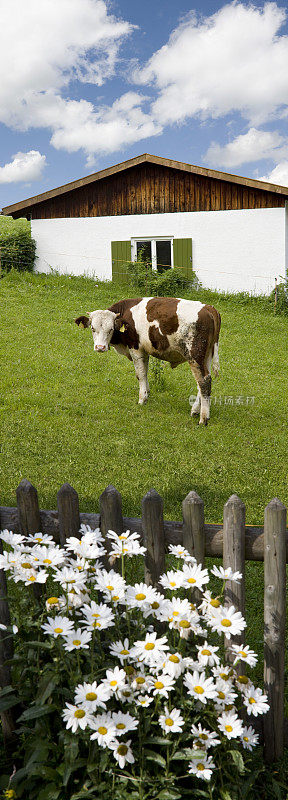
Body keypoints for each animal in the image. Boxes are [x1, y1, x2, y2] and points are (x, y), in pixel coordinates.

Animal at [74, 296, 220, 424]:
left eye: (110, 329)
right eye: (93, 328)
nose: (100, 347)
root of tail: (209, 308)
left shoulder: (135, 348)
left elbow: (140, 374)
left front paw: (142, 399)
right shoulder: (145, 350)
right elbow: (145, 371)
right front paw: (147, 392)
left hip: (195, 355)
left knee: (204, 381)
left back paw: (203, 418)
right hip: (206, 356)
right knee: (203, 381)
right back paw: (195, 410)